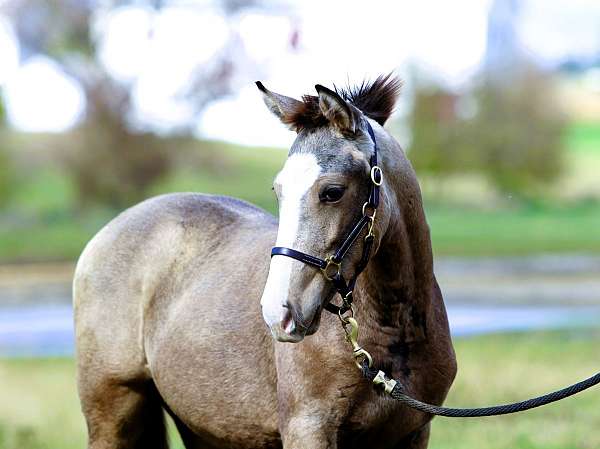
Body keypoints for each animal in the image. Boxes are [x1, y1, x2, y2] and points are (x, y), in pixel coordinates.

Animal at [76, 75, 460, 446]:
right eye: (278, 190)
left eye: (332, 192)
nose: (279, 313)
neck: (393, 333)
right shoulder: (308, 429)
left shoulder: (414, 433)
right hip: (112, 416)